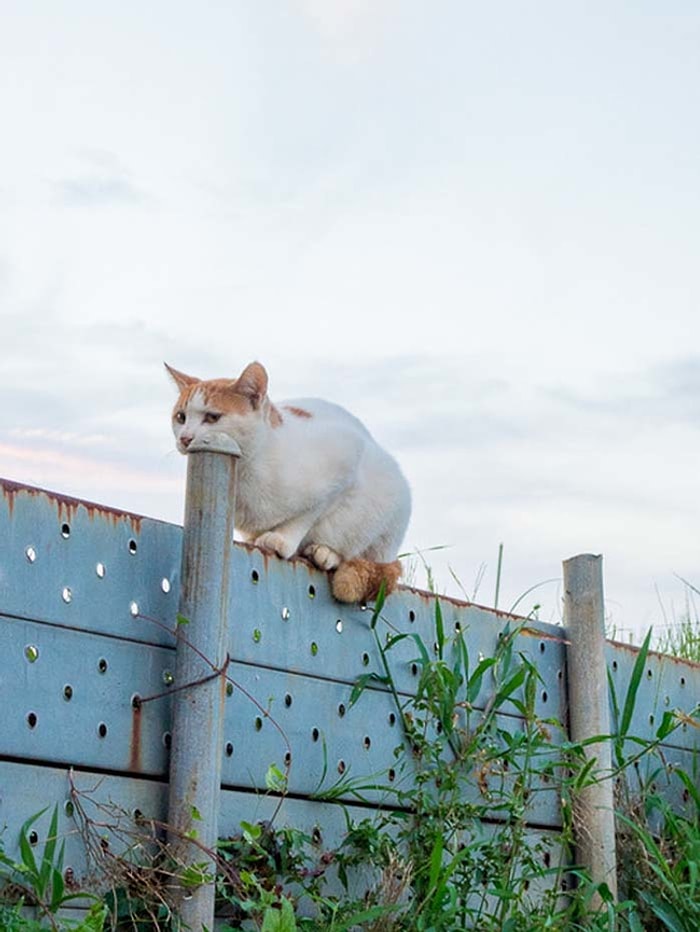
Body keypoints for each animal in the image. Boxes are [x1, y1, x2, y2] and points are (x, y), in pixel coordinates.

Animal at [167, 360, 410, 600]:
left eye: (212, 417)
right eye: (181, 417)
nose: (185, 438)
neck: (247, 471)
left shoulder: (347, 456)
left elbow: (307, 515)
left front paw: (282, 539)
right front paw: (257, 539)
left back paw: (326, 553)